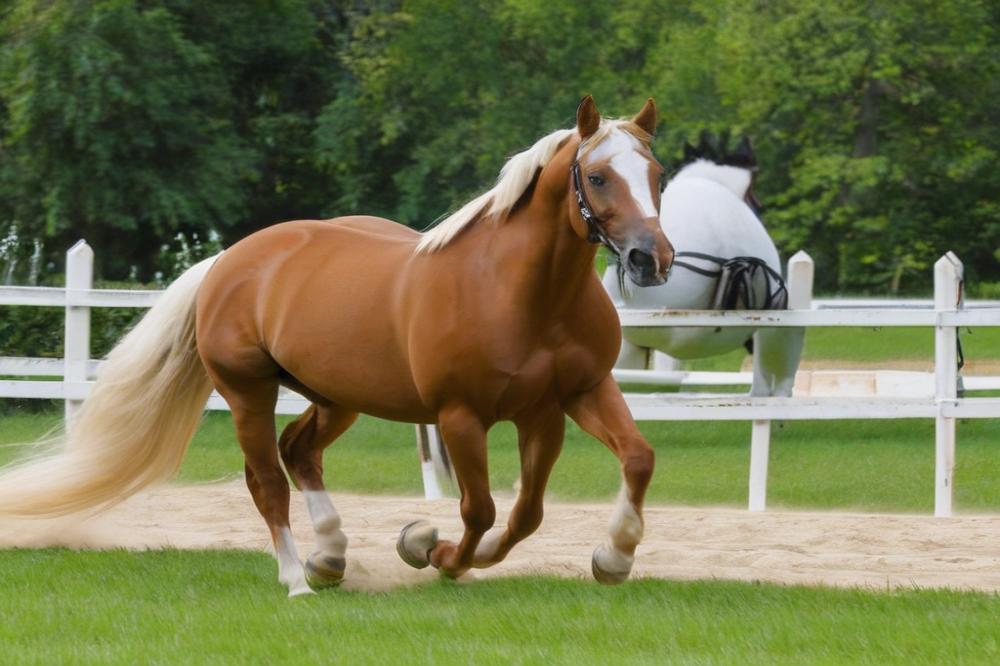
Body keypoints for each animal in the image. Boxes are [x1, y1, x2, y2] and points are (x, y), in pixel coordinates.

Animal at [0, 96, 676, 592]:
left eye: (657, 175)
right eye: (597, 176)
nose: (652, 259)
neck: (521, 293)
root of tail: (228, 259)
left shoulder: (564, 402)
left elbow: (591, 481)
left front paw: (613, 558)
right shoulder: (462, 417)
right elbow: (481, 511)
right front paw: (433, 552)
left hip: (336, 398)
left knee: (298, 452)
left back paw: (329, 557)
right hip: (248, 393)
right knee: (267, 480)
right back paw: (297, 579)